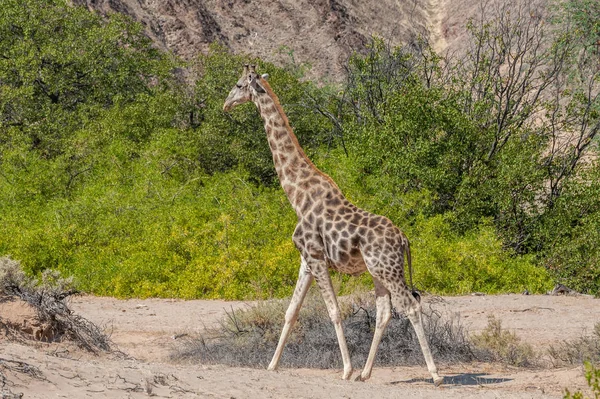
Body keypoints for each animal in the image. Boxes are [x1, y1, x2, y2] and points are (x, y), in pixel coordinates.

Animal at [223, 64, 442, 386]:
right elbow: (291, 311)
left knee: (411, 305)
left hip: (388, 271)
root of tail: (404, 239)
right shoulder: (305, 260)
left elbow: (334, 311)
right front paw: (272, 365)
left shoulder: (316, 257)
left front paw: (346, 369)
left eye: (239, 85)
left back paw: (434, 374)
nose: (226, 104)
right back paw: (366, 373)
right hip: (378, 272)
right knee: (385, 312)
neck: (297, 195)